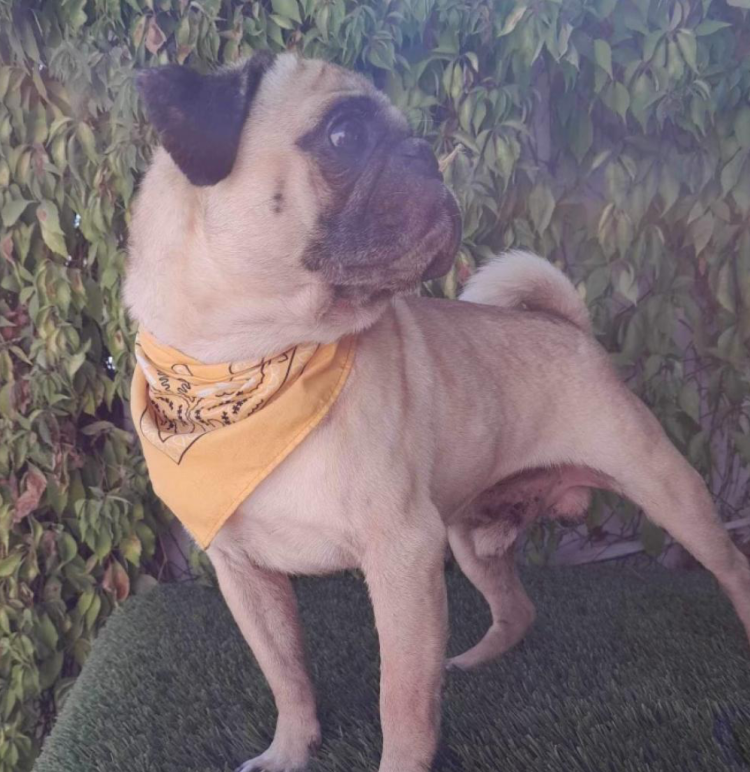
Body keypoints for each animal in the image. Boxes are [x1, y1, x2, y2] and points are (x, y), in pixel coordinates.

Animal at [125, 52, 750, 772]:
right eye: (344, 136)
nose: (425, 154)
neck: (245, 360)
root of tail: (568, 327)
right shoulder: (245, 575)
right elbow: (286, 674)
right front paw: (290, 750)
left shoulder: (403, 558)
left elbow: (402, 698)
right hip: (469, 537)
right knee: (517, 609)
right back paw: (475, 660)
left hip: (669, 492)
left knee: (732, 569)